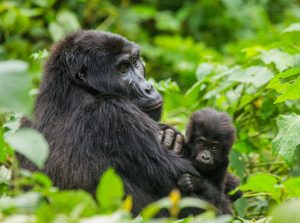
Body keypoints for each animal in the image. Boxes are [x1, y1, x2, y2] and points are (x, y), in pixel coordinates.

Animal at [18, 29, 197, 214]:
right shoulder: (117, 115)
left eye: (135, 62)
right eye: (123, 69)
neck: (73, 86)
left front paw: (171, 135)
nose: (148, 88)